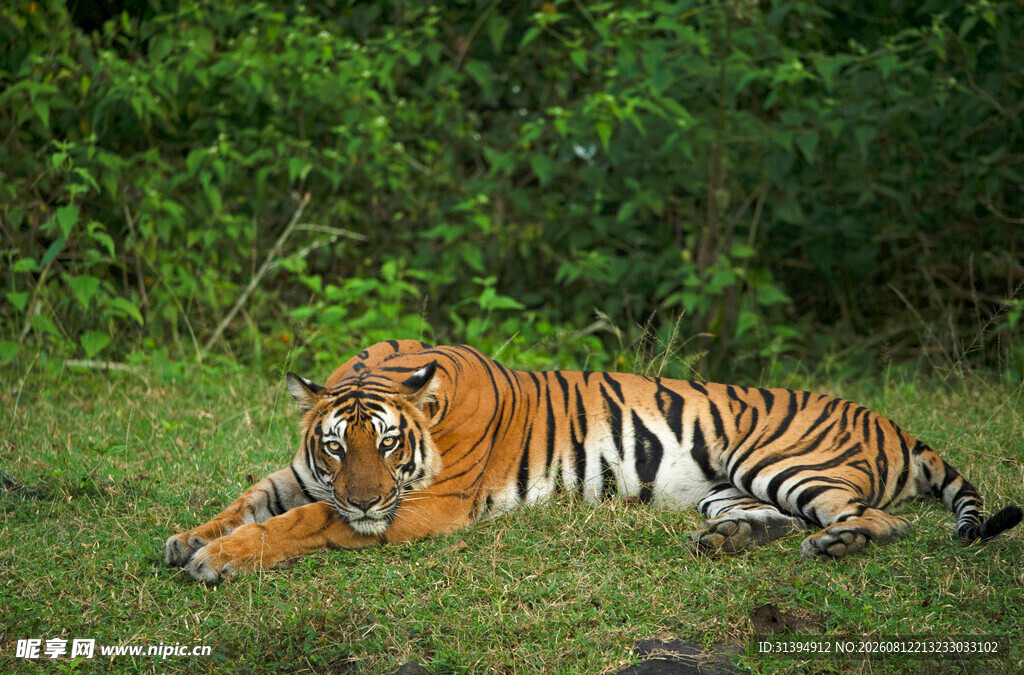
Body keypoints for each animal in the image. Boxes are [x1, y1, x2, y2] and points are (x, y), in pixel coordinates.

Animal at [164, 340, 1021, 582]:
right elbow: (256, 494)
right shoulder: (309, 474)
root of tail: (894, 422)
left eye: (390, 444)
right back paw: (726, 543)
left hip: (780, 459)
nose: (368, 500)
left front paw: (216, 559)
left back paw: (835, 543)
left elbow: (304, 520)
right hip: (726, 488)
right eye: (337, 446)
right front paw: (187, 538)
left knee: (878, 519)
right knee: (764, 518)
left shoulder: (424, 508)